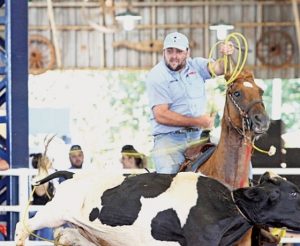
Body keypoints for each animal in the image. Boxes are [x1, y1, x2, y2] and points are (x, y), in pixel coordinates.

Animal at [15, 171, 300, 246]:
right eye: (294, 192)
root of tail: (73, 174)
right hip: (52, 213)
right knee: (22, 226)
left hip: (83, 229)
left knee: (67, 236)